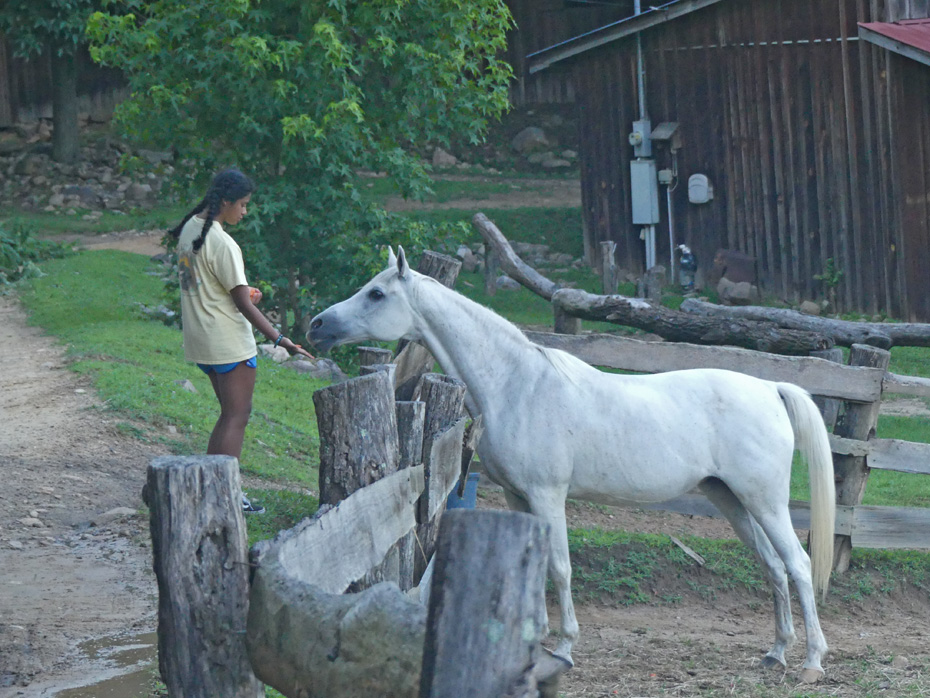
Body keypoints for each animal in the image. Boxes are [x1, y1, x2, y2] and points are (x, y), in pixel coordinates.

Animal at [308, 246, 836, 680]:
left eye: (377, 293)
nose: (317, 326)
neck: (517, 385)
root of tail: (770, 388)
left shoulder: (547, 495)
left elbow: (559, 568)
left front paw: (563, 648)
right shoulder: (518, 496)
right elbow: (537, 565)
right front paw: (533, 644)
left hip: (764, 501)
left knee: (799, 564)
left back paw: (811, 662)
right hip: (731, 500)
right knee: (773, 567)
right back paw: (775, 654)